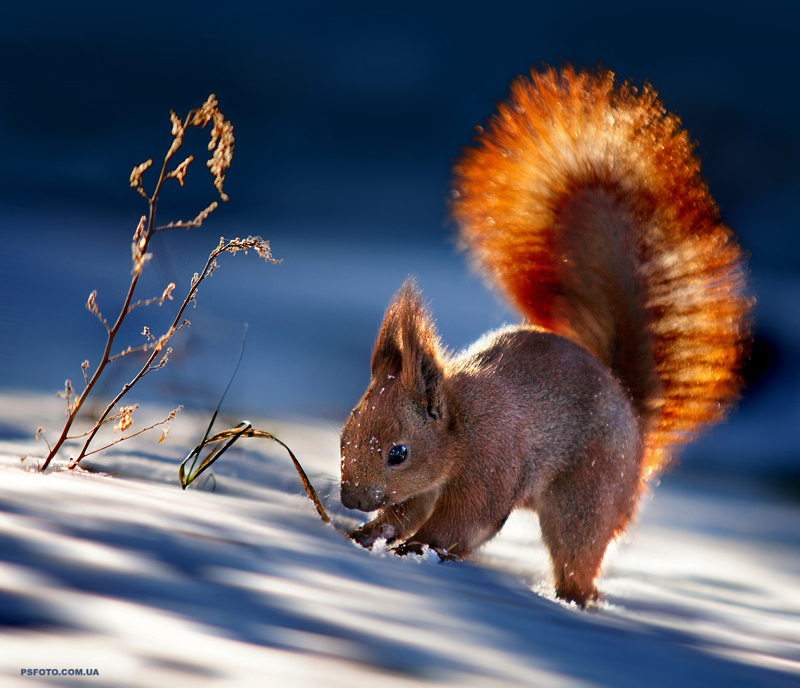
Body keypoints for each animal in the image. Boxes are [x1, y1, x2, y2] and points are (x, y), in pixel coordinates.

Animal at [338, 66, 752, 608]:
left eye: (398, 453)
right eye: (345, 432)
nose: (349, 499)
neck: (459, 427)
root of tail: (633, 417)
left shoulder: (490, 464)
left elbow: (462, 523)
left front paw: (417, 551)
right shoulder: (424, 488)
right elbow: (404, 513)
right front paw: (365, 535)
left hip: (587, 496)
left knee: (579, 557)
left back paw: (571, 601)